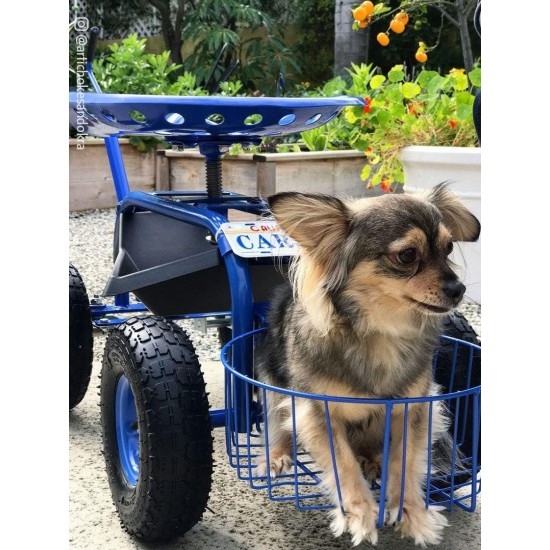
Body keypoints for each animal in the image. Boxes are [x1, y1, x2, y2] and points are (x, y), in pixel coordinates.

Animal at [256, 184, 480, 548]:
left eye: (448, 248)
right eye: (407, 255)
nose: (458, 289)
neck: (381, 331)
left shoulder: (413, 408)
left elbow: (404, 463)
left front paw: (413, 514)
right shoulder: (317, 413)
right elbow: (343, 465)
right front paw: (359, 515)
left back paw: (372, 459)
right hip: (274, 388)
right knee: (278, 427)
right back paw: (276, 454)